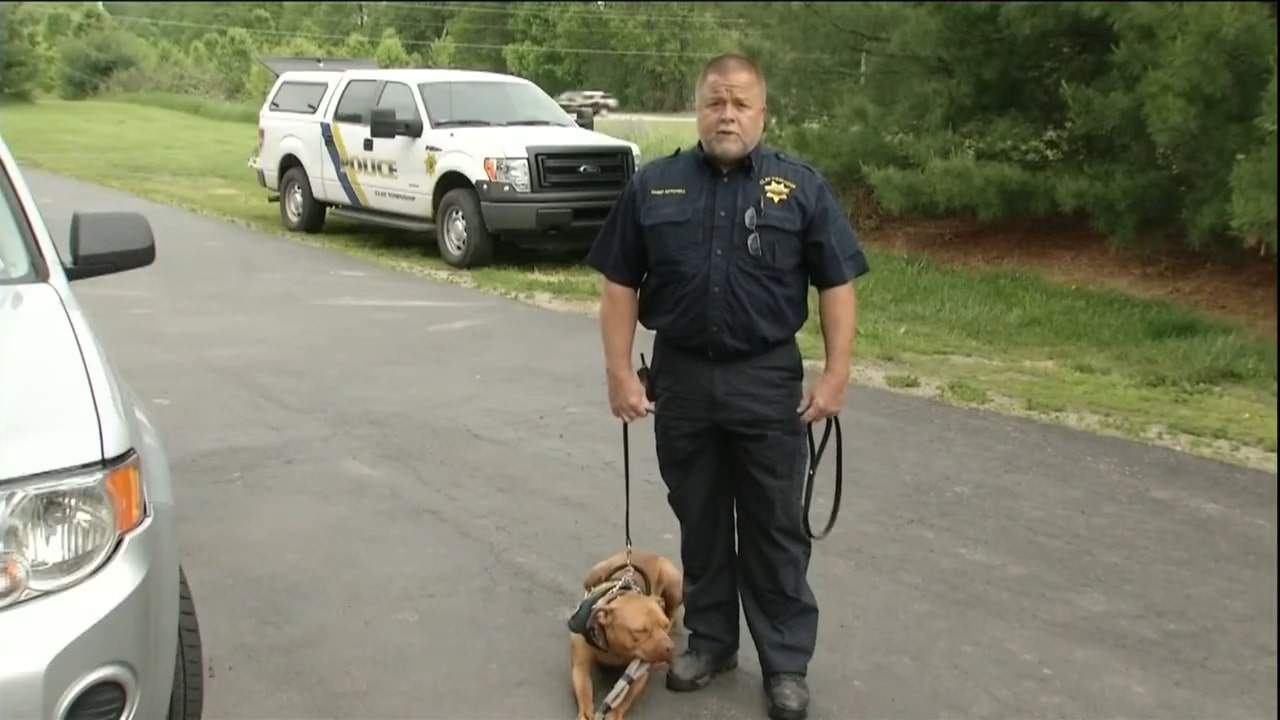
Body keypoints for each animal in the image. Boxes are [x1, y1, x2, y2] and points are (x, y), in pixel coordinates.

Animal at [570, 545, 686, 712]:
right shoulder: (580, 666)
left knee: (672, 612)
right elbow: (585, 696)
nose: (670, 648)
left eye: (663, 626)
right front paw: (585, 713)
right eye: (640, 631)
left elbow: (622, 703)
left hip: (673, 585)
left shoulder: (639, 676)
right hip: (595, 572)